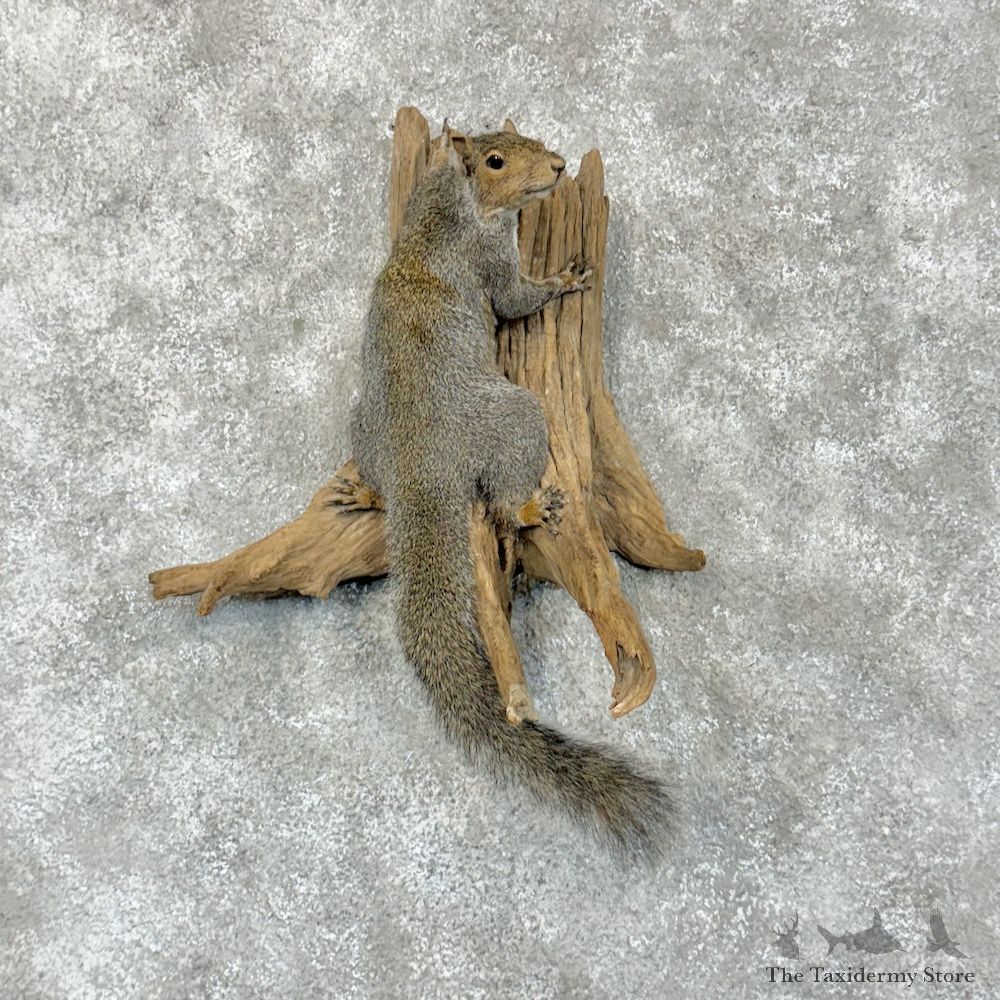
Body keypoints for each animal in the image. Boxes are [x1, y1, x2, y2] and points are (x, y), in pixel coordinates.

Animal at [347, 120, 671, 858]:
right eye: (495, 160)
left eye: (522, 136)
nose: (555, 165)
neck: (453, 207)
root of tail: (420, 470)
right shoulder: (490, 260)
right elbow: (518, 297)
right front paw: (564, 278)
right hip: (518, 416)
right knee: (499, 500)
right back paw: (531, 503)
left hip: (363, 430)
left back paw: (365, 495)